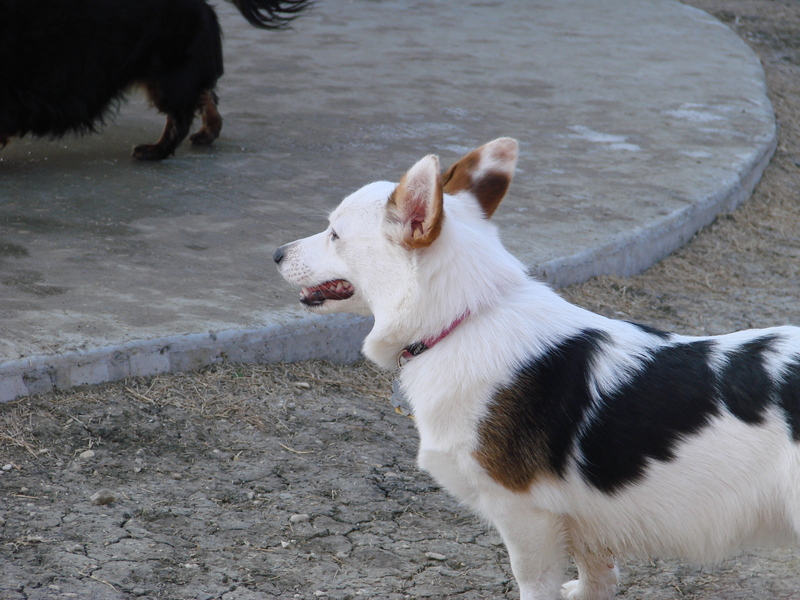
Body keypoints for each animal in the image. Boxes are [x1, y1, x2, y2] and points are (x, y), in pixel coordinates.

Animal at [276, 138, 800, 596]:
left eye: (335, 234)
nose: (276, 253)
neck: (466, 317)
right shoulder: (583, 519)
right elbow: (597, 577)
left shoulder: (524, 516)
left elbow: (534, 582)